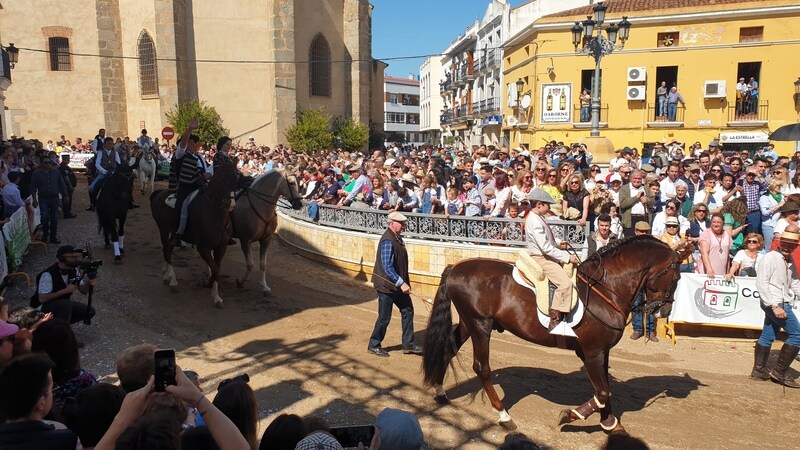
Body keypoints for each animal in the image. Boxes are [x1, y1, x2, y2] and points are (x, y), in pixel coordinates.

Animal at [149, 160, 238, 308]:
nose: (230, 204)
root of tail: (160, 193)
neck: (216, 215)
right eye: (223, 178)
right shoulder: (203, 247)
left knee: (169, 249)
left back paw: (166, 274)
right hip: (163, 229)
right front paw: (206, 284)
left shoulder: (221, 247)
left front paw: (216, 297)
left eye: (237, 179)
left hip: (171, 233)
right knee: (166, 250)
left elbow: (217, 269)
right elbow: (215, 269)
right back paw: (172, 281)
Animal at [422, 236, 692, 432]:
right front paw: (571, 415)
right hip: (480, 325)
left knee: (448, 348)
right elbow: (602, 391)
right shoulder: (592, 352)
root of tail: (456, 267)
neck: (606, 289)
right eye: (676, 276)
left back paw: (440, 392)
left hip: (469, 323)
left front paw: (609, 423)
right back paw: (504, 416)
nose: (663, 310)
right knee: (482, 368)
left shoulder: (602, 351)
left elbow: (605, 389)